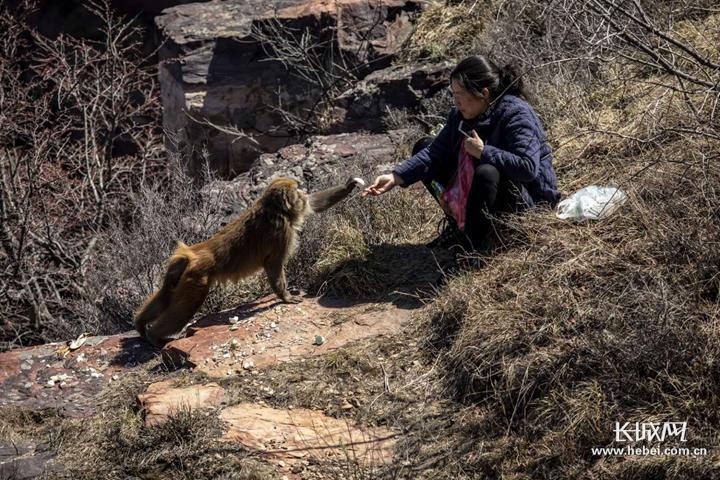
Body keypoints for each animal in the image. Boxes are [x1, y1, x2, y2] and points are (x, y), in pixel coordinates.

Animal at [134, 176, 362, 344]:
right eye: (297, 190)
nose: (303, 193)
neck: (274, 209)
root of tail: (194, 253)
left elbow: (315, 203)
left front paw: (349, 185)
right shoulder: (281, 233)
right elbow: (273, 264)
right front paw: (285, 296)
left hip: (179, 272)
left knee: (166, 296)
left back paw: (141, 325)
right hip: (197, 278)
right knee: (185, 307)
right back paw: (155, 337)